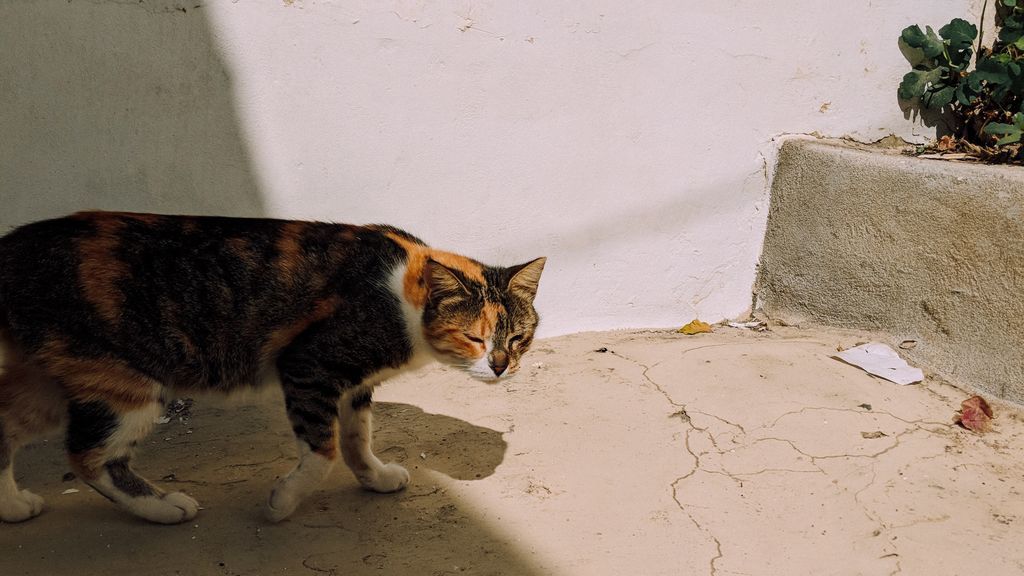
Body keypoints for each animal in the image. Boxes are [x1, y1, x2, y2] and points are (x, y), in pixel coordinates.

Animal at [0, 210, 544, 520]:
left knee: (7, 427)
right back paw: (161, 507)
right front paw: (283, 502)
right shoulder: (309, 365)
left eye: (519, 338)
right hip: (123, 384)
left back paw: (13, 507)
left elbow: (356, 436)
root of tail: (11, 249)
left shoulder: (355, 384)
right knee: (88, 455)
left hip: (50, 381)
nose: (501, 367)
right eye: (474, 338)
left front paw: (374, 477)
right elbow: (323, 450)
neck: (402, 294)